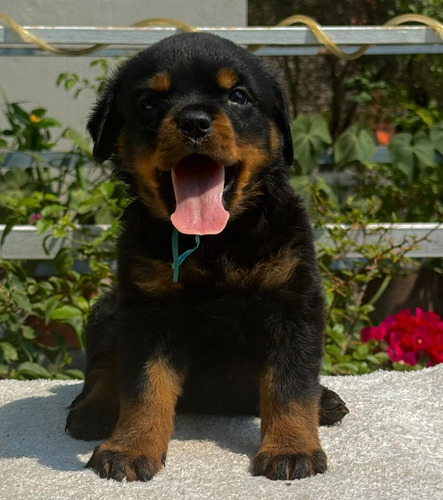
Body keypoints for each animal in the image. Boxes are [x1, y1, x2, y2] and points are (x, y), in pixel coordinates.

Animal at [66, 33, 350, 482]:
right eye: (149, 102)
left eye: (238, 96)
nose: (195, 122)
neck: (216, 241)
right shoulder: (145, 311)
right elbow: (142, 386)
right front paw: (130, 447)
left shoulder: (293, 302)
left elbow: (290, 384)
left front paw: (291, 448)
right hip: (107, 309)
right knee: (104, 365)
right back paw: (94, 409)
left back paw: (323, 402)